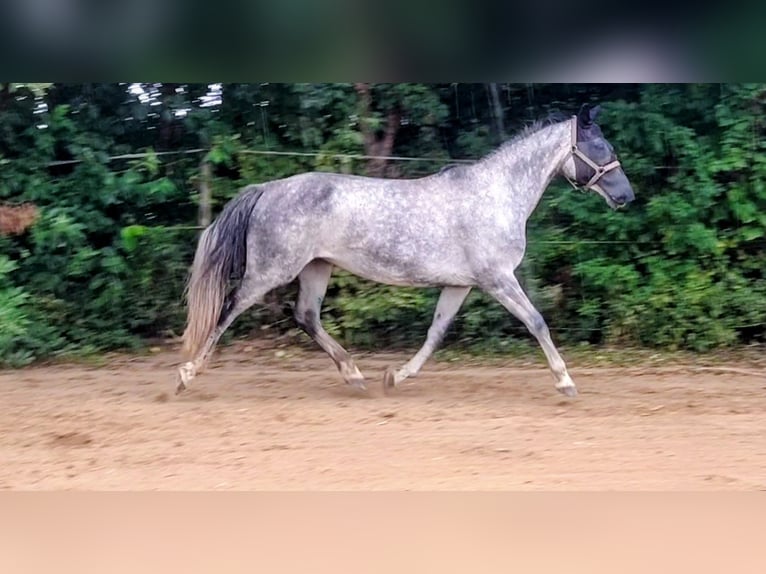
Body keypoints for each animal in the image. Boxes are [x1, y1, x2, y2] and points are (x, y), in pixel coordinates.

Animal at [176, 103, 634, 397]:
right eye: (601, 149)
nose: (626, 196)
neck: (497, 195)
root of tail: (268, 189)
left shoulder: (460, 285)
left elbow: (435, 333)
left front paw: (395, 376)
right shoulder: (497, 279)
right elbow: (537, 321)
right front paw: (566, 381)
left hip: (317, 268)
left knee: (306, 316)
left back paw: (355, 375)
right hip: (271, 271)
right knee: (229, 309)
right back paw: (186, 374)